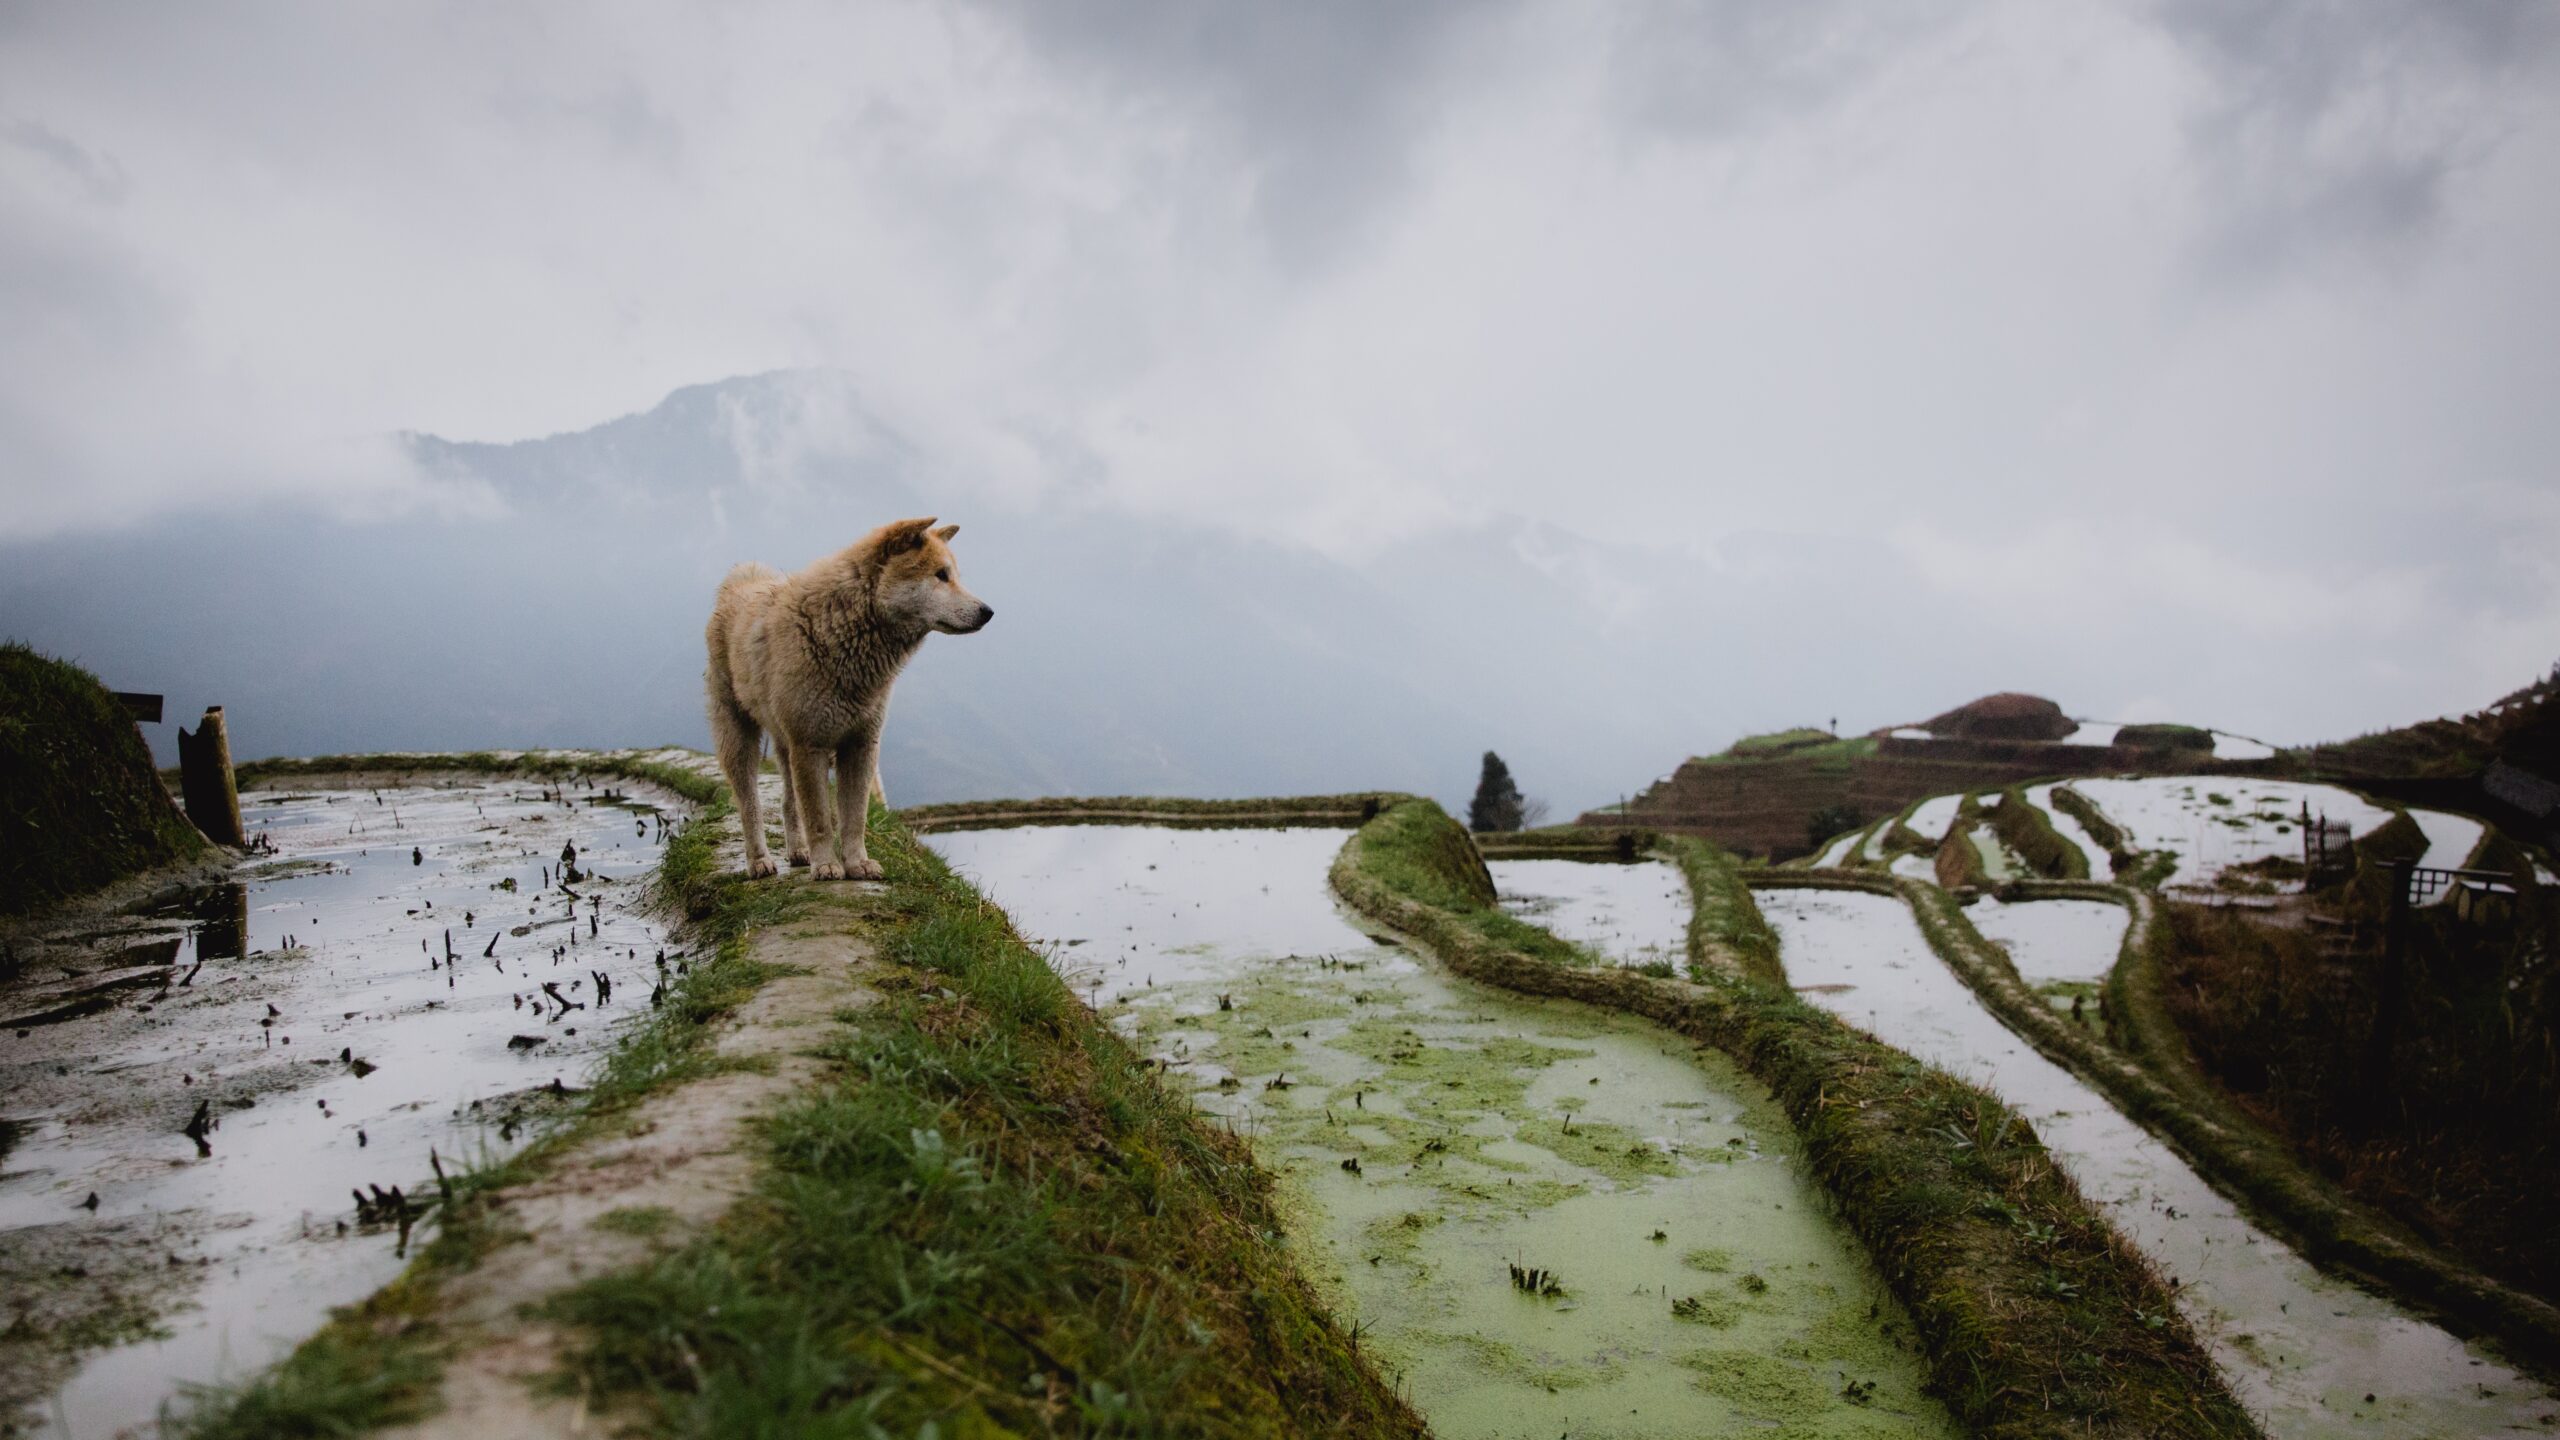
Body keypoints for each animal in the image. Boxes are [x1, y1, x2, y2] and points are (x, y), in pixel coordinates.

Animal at [706, 515, 993, 876]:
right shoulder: (810, 745)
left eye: (954, 574)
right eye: (941, 575)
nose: (988, 611)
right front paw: (828, 866)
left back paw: (798, 851)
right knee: (749, 804)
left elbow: (854, 817)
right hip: (740, 735)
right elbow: (819, 817)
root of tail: (738, 585)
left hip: (785, 742)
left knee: (787, 801)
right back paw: (759, 860)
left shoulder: (861, 744)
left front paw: (857, 863)